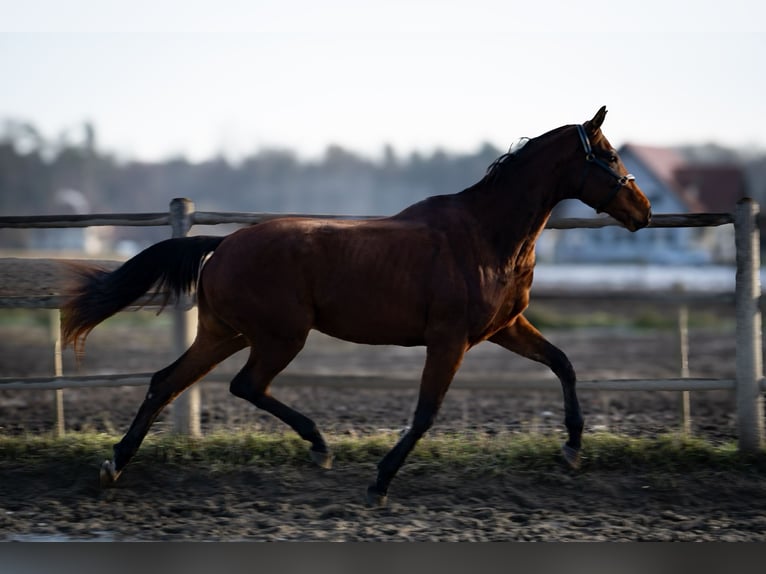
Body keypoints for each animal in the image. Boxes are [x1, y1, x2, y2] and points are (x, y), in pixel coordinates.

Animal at [61, 106, 656, 506]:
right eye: (608, 155)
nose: (644, 209)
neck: (487, 237)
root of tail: (223, 244)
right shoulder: (449, 339)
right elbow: (426, 411)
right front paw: (380, 481)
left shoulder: (504, 327)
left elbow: (563, 363)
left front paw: (573, 449)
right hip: (280, 336)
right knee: (245, 385)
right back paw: (319, 445)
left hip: (225, 332)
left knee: (167, 381)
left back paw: (114, 465)